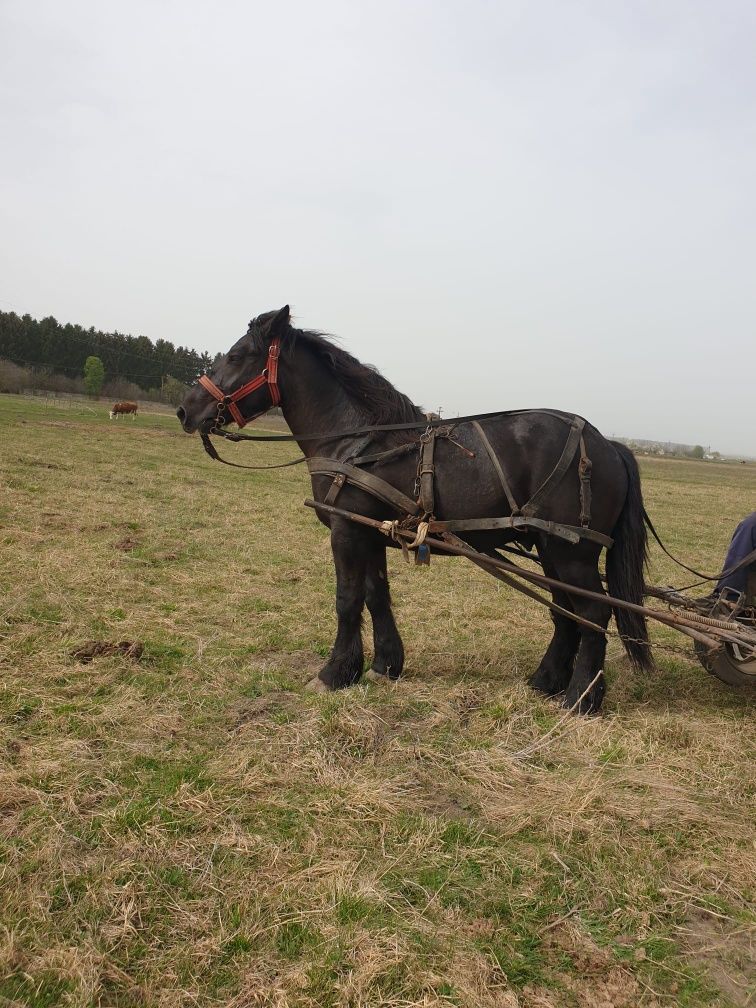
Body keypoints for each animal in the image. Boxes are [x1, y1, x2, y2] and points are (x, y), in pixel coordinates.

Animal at [177, 306, 653, 709]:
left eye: (237, 355)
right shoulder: (369, 532)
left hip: (572, 553)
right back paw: (546, 681)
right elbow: (376, 595)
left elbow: (347, 599)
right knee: (565, 612)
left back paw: (580, 698)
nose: (186, 410)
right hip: (550, 548)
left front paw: (333, 673)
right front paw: (383, 665)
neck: (355, 439)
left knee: (593, 613)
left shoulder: (346, 532)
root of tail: (608, 445)